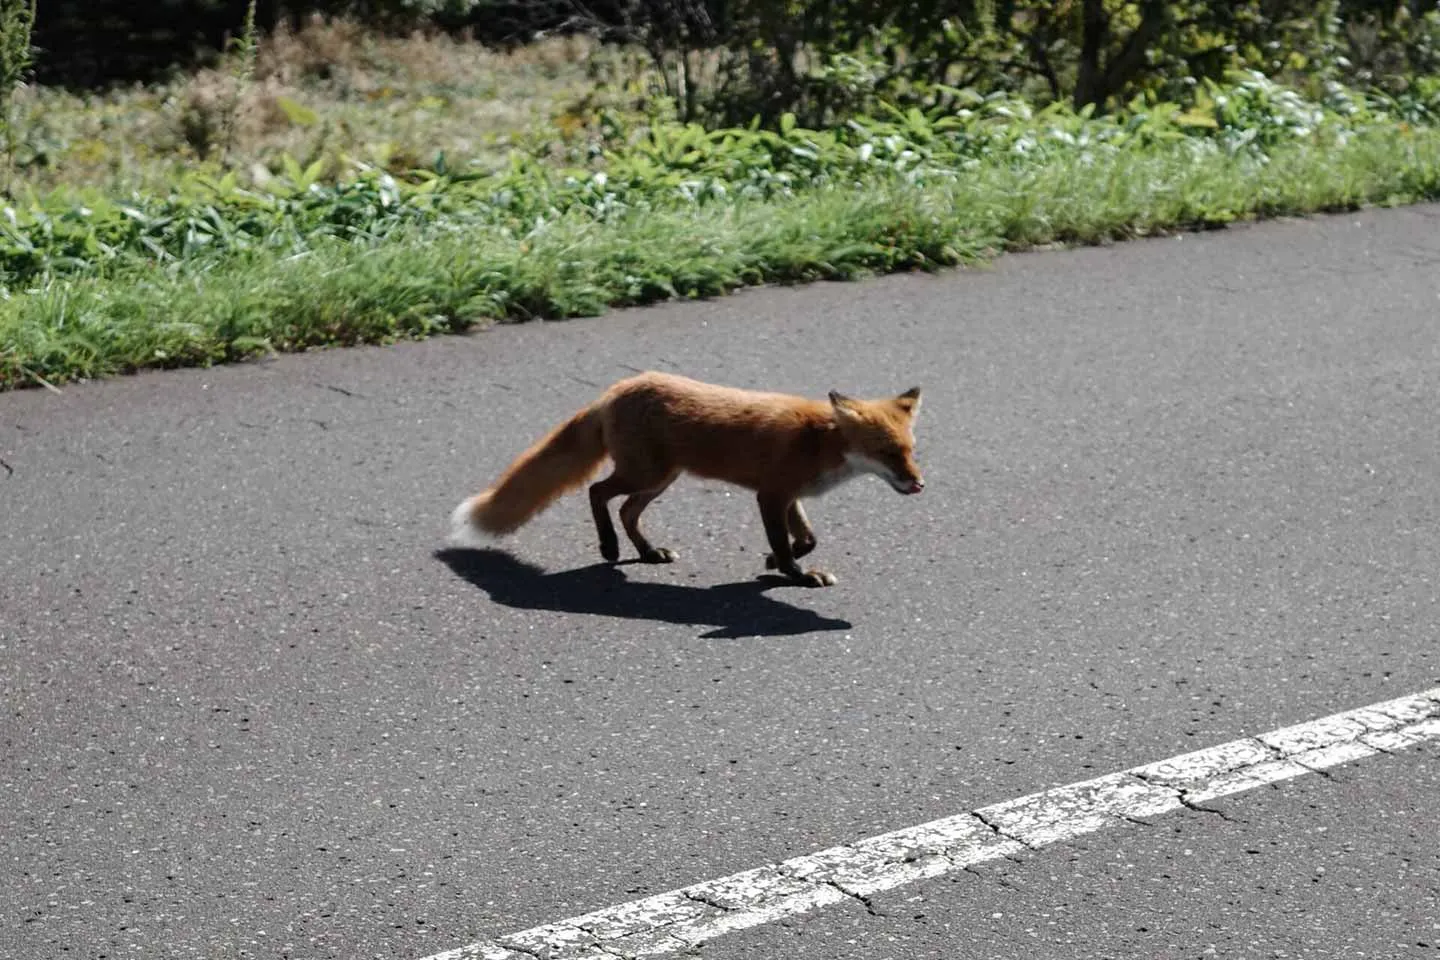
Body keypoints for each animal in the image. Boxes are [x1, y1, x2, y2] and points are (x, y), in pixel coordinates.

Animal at [443, 374, 927, 587]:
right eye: (888, 454)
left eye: (910, 450)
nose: (919, 485)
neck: (819, 442)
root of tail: (616, 389)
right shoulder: (770, 495)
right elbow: (790, 545)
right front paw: (795, 574)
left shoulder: (790, 496)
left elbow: (806, 539)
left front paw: (775, 561)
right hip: (647, 473)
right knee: (598, 492)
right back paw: (609, 548)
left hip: (659, 480)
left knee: (626, 509)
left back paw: (647, 552)